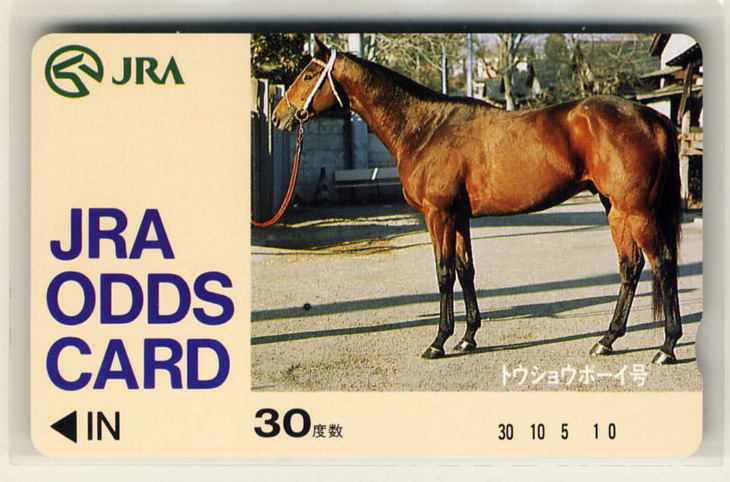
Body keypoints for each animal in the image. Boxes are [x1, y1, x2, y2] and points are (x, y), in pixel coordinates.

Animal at [272, 38, 683, 364]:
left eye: (309, 75)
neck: (425, 129)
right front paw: (468, 338)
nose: (279, 117)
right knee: (630, 266)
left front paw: (438, 342)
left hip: (637, 211)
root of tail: (653, 117)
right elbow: (465, 269)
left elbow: (443, 273)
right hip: (615, 209)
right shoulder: (459, 217)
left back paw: (666, 346)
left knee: (662, 263)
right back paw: (607, 340)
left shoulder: (438, 215)